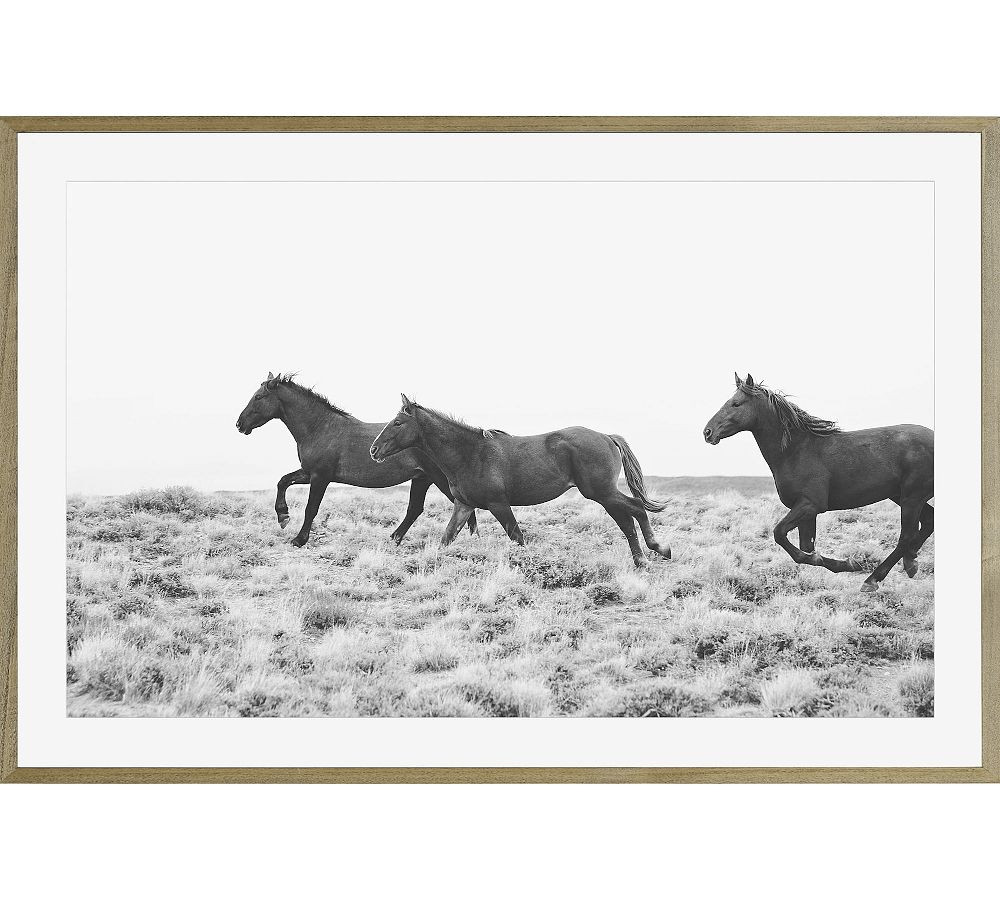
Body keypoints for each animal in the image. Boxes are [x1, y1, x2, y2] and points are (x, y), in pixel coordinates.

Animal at [235, 373, 477, 547]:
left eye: (258, 397)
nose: (239, 424)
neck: (320, 428)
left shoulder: (320, 477)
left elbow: (311, 508)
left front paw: (299, 539)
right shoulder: (308, 472)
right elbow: (283, 481)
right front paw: (283, 516)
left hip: (438, 479)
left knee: (463, 506)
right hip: (421, 479)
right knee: (416, 509)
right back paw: (394, 539)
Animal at [369, 395, 671, 567]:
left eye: (397, 423)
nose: (373, 450)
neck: (470, 453)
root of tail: (607, 437)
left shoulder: (498, 504)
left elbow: (518, 537)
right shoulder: (464, 505)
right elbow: (447, 538)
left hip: (601, 492)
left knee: (635, 510)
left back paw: (658, 550)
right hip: (602, 494)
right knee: (627, 518)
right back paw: (643, 558)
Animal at [703, 373, 934, 592]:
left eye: (736, 403)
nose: (707, 432)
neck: (795, 450)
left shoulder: (810, 504)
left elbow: (781, 535)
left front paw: (850, 564)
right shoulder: (807, 512)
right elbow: (806, 548)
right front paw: (842, 563)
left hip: (912, 497)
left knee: (906, 535)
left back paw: (873, 579)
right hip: (902, 496)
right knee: (927, 523)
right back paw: (911, 563)